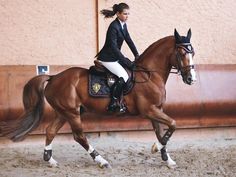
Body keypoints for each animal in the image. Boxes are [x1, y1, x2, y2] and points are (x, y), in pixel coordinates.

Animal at [0, 29, 195, 169]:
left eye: (192, 53)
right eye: (181, 53)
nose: (191, 79)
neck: (149, 74)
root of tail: (54, 77)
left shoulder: (155, 110)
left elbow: (162, 133)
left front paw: (167, 159)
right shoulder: (150, 110)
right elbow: (173, 124)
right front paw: (157, 148)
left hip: (64, 112)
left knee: (50, 131)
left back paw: (50, 160)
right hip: (72, 113)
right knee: (79, 136)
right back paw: (101, 160)